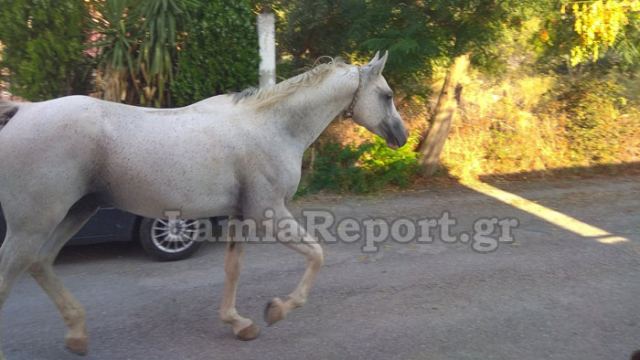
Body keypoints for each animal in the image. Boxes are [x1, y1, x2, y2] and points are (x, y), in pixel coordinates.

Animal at [0, 51, 404, 358]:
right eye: (386, 95)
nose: (401, 136)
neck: (272, 126)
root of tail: (22, 112)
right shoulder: (268, 212)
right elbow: (316, 254)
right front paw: (275, 310)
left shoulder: (239, 215)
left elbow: (233, 269)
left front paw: (239, 323)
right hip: (32, 224)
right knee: (12, 272)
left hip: (75, 212)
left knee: (40, 263)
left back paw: (77, 335)